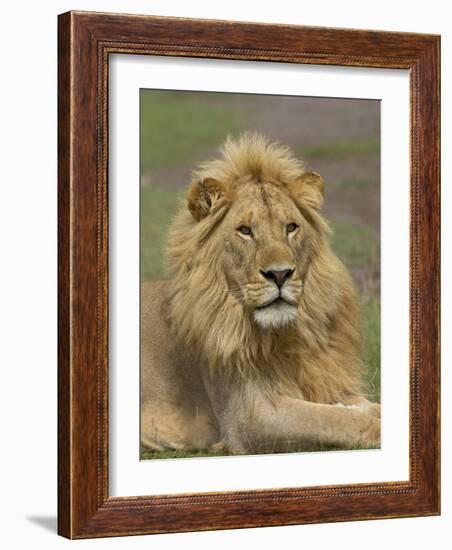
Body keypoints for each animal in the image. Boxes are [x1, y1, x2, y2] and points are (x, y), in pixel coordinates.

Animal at [139, 132, 380, 454]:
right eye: (245, 230)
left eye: (291, 227)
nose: (280, 274)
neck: (287, 336)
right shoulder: (248, 417)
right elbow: (336, 420)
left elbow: (360, 408)